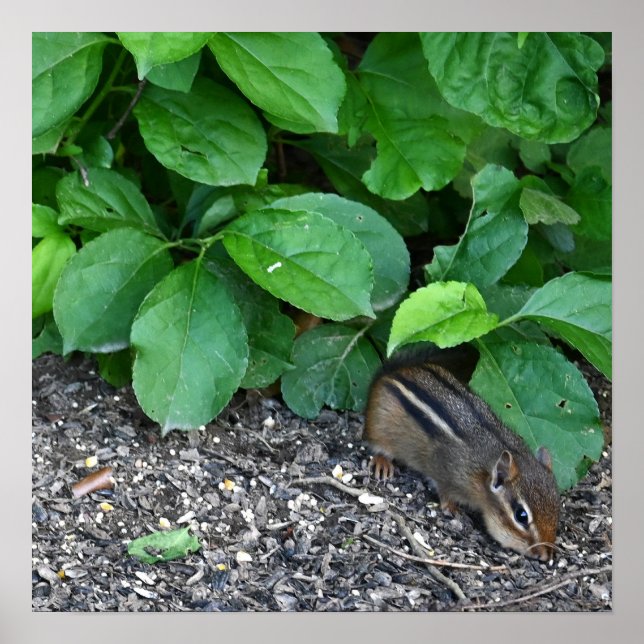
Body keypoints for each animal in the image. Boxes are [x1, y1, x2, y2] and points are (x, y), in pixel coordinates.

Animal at [362, 346, 560, 562]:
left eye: (557, 508)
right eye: (521, 516)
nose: (545, 555)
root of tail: (391, 371)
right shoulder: (448, 474)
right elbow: (445, 493)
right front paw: (453, 509)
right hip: (379, 429)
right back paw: (383, 463)